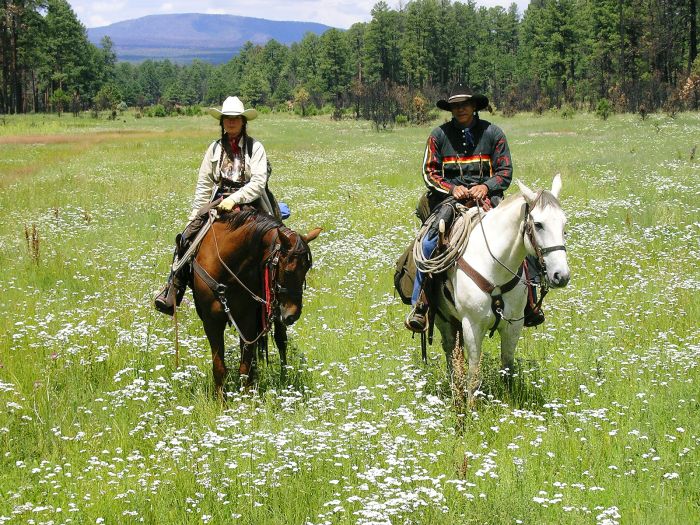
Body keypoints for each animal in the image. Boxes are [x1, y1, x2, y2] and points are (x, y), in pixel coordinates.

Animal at [191, 207, 322, 396]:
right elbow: (219, 367)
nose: (293, 315)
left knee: (281, 341)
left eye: (306, 270)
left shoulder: (247, 319)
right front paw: (222, 400)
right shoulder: (211, 321)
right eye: (288, 271)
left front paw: (246, 398)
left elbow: (246, 365)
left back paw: (284, 377)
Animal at [434, 174, 572, 400]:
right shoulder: (472, 326)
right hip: (443, 320)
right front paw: (470, 407)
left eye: (564, 224)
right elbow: (474, 374)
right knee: (450, 353)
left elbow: (507, 369)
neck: (494, 266)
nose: (561, 276)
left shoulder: (513, 325)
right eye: (539, 224)